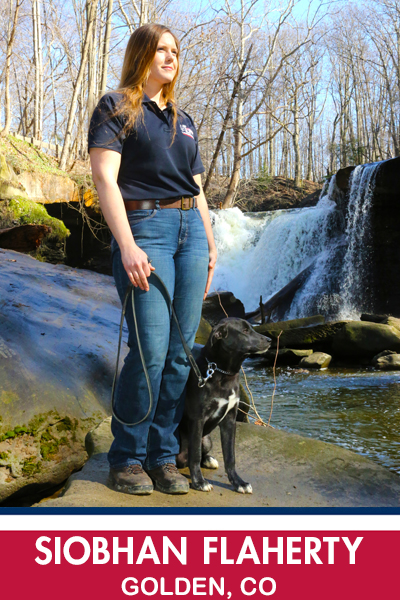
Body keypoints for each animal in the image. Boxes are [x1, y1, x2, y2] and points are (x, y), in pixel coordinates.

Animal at [178, 316, 272, 494]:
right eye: (245, 331)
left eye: (250, 328)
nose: (270, 340)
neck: (222, 373)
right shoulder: (197, 418)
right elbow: (195, 454)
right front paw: (199, 482)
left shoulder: (229, 419)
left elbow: (230, 456)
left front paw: (238, 482)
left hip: (207, 439)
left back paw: (209, 459)